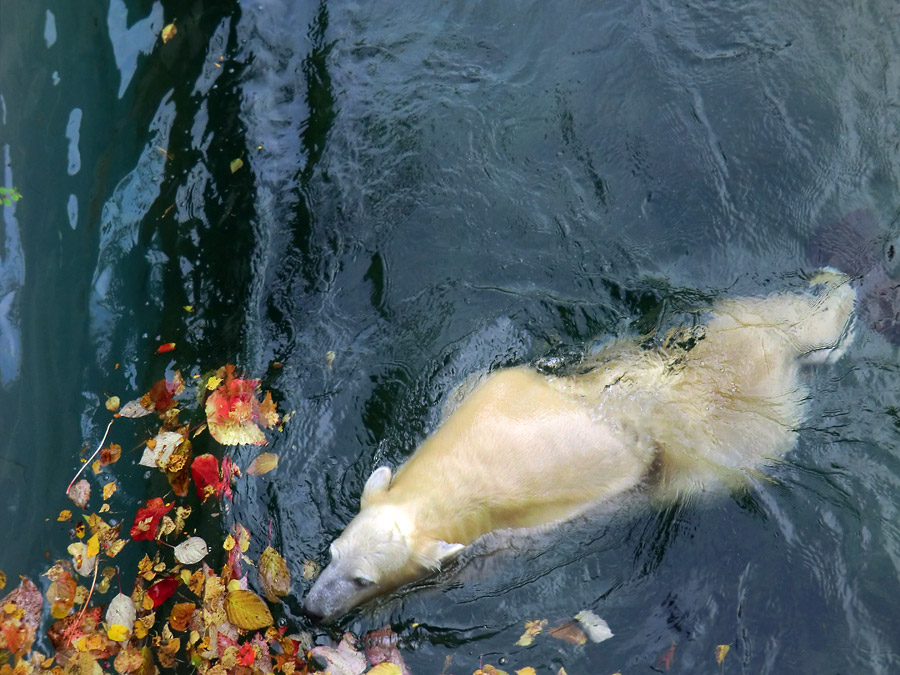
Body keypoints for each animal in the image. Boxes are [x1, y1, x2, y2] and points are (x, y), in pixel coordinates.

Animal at [304, 270, 856, 624]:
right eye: (332, 553)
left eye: (363, 580)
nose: (312, 609)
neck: (450, 478)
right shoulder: (488, 393)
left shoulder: (520, 531)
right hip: (716, 322)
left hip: (737, 433)